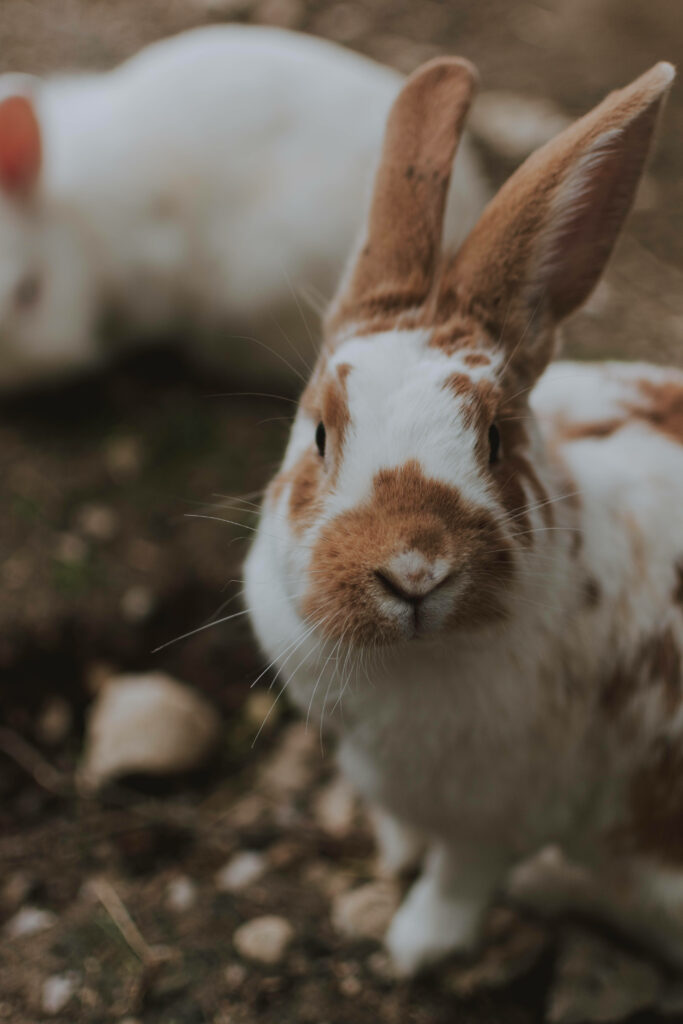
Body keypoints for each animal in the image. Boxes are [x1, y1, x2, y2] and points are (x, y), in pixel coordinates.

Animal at [244, 55, 683, 976]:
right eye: (320, 433)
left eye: (494, 437)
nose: (413, 571)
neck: (410, 660)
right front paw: (394, 858)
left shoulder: (501, 813)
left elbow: (457, 878)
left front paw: (413, 947)